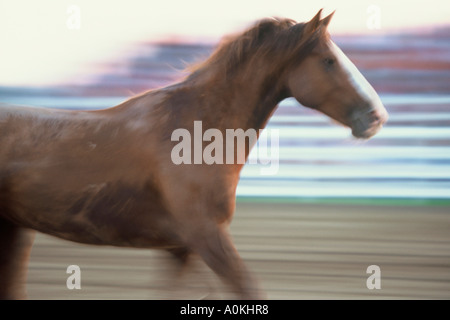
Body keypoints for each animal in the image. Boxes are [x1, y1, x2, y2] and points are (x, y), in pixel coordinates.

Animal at [0, 10, 386, 300]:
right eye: (328, 61)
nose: (376, 117)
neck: (195, 131)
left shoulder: (181, 249)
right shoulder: (207, 236)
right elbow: (248, 288)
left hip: (16, 231)